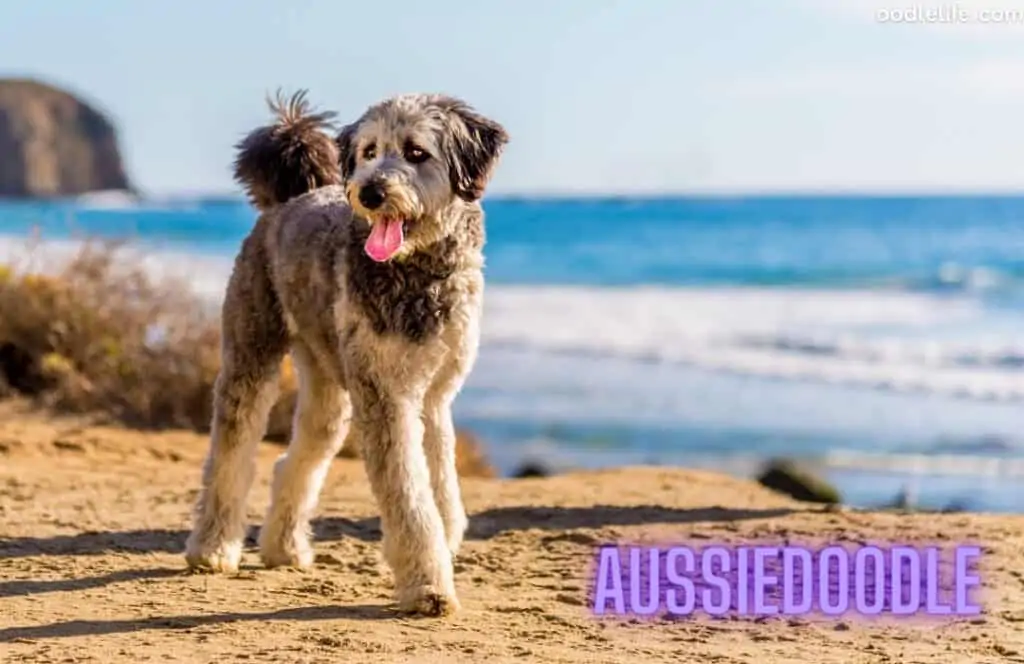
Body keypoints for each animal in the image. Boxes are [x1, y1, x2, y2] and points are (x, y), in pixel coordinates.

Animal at [183, 89, 507, 618]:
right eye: (370, 151)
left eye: (416, 152)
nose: (370, 192)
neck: (417, 274)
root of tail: (288, 199)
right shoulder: (386, 398)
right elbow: (411, 497)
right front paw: (427, 584)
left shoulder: (434, 398)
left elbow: (441, 486)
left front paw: (440, 546)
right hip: (252, 355)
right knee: (230, 455)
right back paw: (212, 547)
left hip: (328, 386)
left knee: (296, 459)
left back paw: (283, 547)